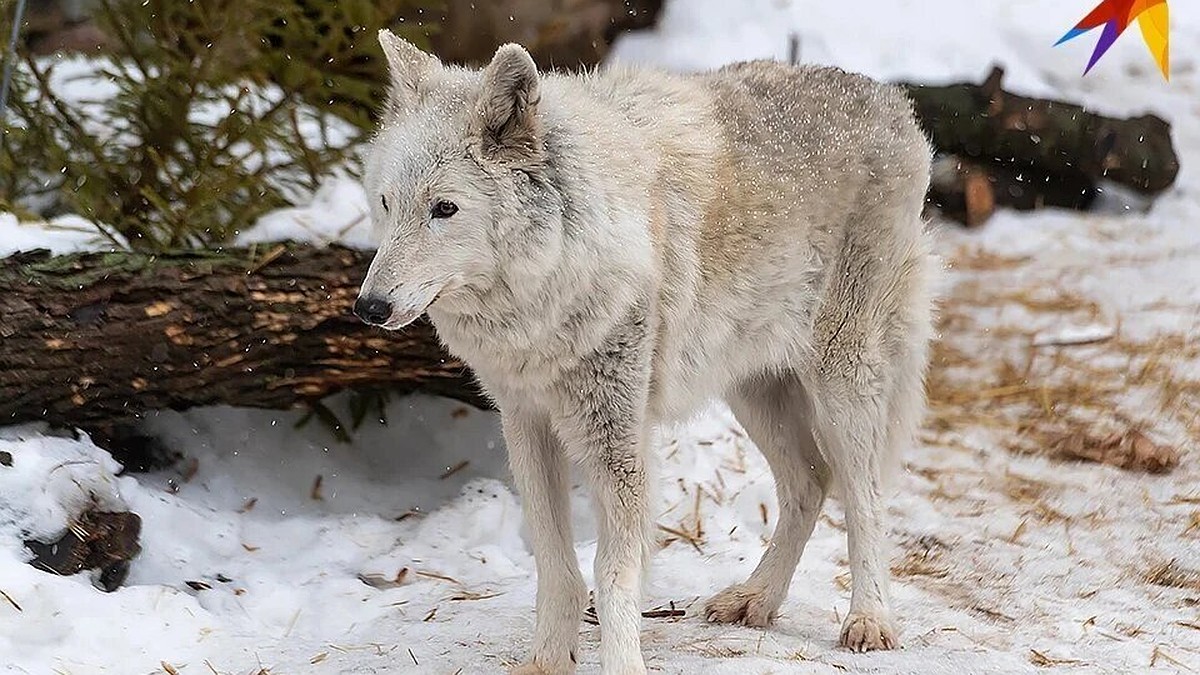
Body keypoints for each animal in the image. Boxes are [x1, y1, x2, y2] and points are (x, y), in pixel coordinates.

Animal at [355, 30, 936, 672]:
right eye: (387, 203)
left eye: (445, 209)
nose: (369, 307)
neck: (549, 288)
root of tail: (893, 101)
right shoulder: (525, 421)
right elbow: (556, 567)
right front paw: (547, 662)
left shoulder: (618, 442)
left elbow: (612, 575)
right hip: (752, 388)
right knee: (811, 483)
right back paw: (756, 600)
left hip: (841, 379)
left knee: (866, 497)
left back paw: (870, 620)